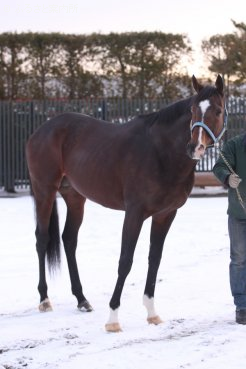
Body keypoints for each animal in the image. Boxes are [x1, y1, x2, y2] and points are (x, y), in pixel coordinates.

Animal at [25, 74, 227, 330]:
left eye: (218, 111)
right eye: (192, 110)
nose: (195, 147)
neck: (161, 152)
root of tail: (41, 130)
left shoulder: (165, 214)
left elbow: (154, 259)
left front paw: (151, 313)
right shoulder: (134, 213)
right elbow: (125, 261)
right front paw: (113, 319)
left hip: (75, 197)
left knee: (69, 240)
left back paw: (82, 299)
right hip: (45, 190)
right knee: (42, 239)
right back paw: (44, 299)